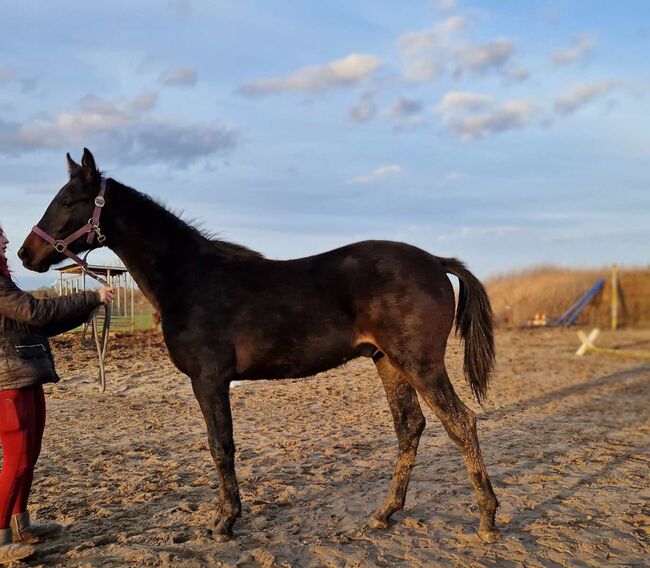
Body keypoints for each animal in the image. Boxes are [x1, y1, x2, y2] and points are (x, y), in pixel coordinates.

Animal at [19, 149, 496, 544]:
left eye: (68, 201)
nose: (26, 254)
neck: (191, 280)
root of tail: (435, 261)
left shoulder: (209, 380)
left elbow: (221, 445)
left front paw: (224, 521)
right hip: (389, 363)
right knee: (409, 427)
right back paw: (385, 513)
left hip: (420, 364)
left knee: (461, 423)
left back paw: (487, 520)